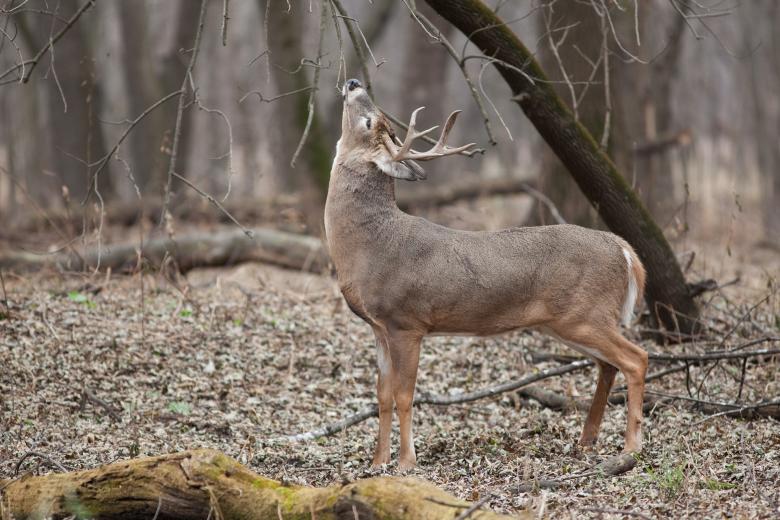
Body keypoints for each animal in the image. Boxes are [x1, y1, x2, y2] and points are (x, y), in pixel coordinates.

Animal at [324, 78, 648, 471]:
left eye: (369, 121)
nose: (353, 82)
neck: (369, 245)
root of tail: (624, 249)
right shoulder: (378, 327)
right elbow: (382, 395)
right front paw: (377, 463)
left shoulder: (407, 322)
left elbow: (404, 394)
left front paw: (405, 463)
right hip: (570, 321)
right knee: (608, 364)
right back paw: (587, 439)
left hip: (585, 314)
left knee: (636, 359)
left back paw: (630, 447)